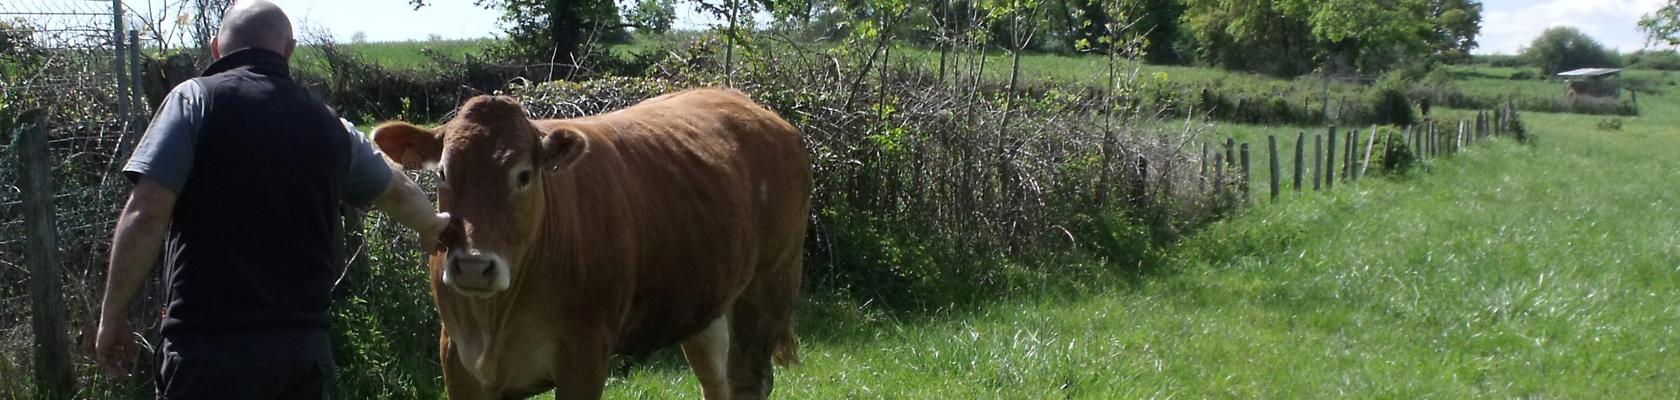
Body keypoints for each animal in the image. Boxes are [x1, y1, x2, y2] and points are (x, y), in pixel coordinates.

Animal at [370, 88, 812, 400]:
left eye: (524, 175)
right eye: (443, 172)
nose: (475, 267)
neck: (496, 319)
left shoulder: (584, 353)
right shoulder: (458, 359)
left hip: (769, 286)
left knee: (748, 381)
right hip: (704, 303)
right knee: (715, 379)